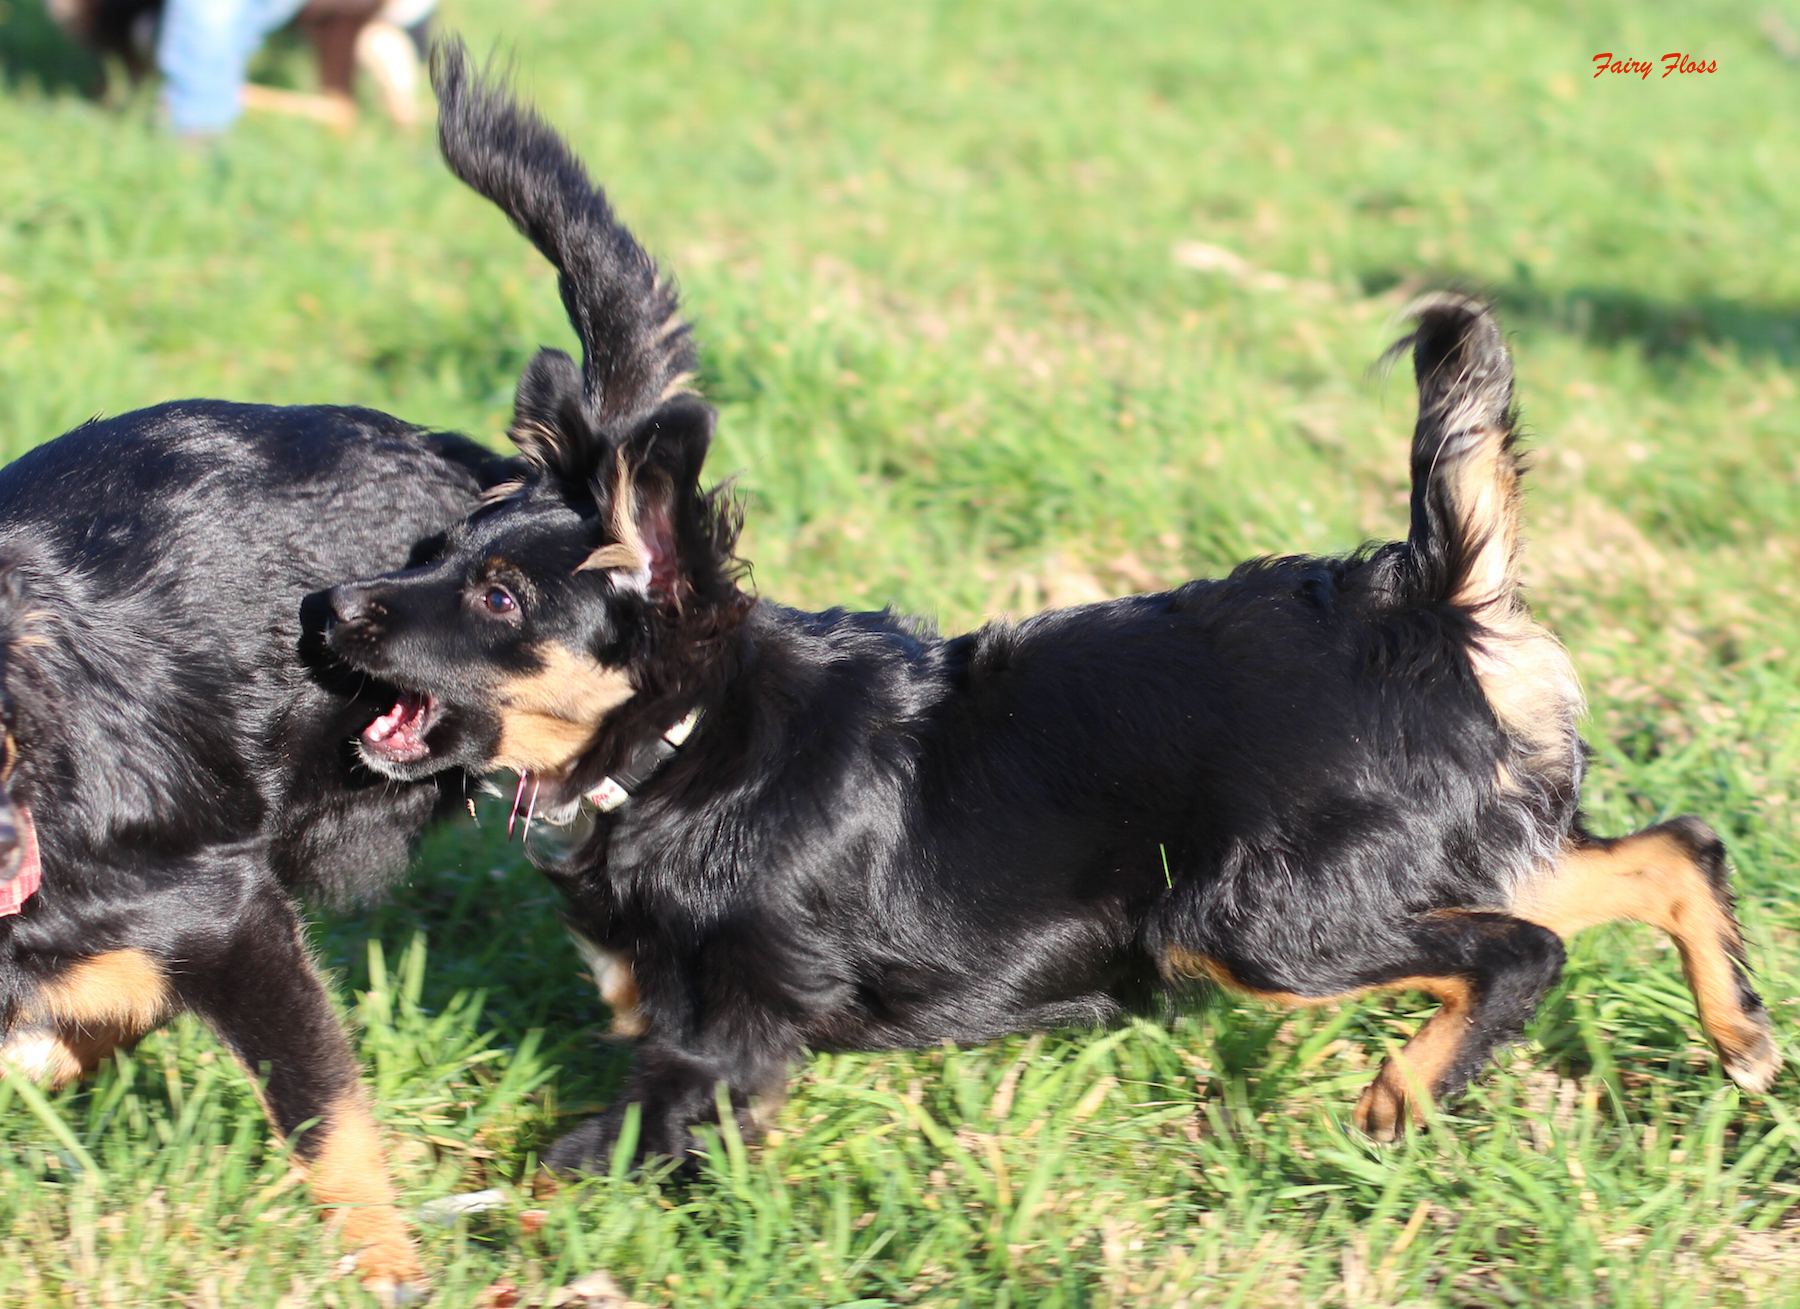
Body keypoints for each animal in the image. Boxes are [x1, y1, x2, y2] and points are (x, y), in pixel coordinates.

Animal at [327, 51, 1785, 1173]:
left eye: (500, 595)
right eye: (432, 550)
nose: (328, 610)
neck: (692, 747)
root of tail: (1433, 600)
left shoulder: (719, 1040)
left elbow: (575, 1160)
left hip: (1252, 913)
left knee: (1524, 947)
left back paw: (1406, 1093)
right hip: (1432, 850)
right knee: (1667, 851)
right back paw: (1743, 1036)